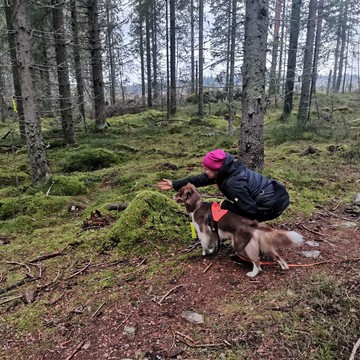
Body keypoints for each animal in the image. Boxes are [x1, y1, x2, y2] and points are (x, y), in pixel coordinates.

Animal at [174, 184, 304, 278]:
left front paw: (205, 253)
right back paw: (284, 266)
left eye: (179, 192)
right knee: (275, 254)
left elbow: (204, 244)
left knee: (257, 262)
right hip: (258, 243)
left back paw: (252, 273)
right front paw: (213, 250)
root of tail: (252, 224)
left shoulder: (202, 232)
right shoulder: (213, 232)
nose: (173, 196)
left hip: (240, 246)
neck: (197, 205)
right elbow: (215, 242)